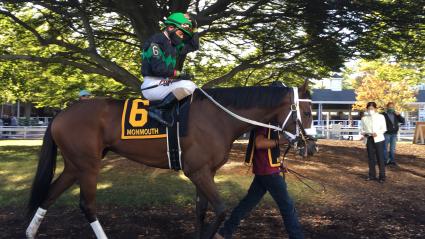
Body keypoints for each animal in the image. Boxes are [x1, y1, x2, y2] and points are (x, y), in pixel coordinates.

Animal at [24, 81, 314, 239]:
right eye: (309, 112)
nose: (311, 146)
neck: (218, 116)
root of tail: (61, 113)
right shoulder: (198, 171)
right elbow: (220, 209)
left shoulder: (206, 172)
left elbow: (201, 210)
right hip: (88, 166)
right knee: (87, 205)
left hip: (75, 165)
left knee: (49, 194)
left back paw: (30, 232)